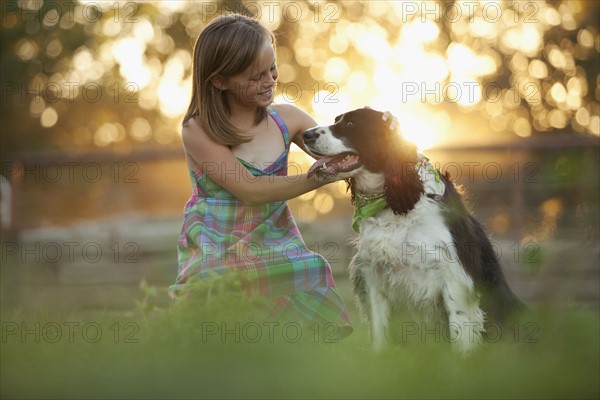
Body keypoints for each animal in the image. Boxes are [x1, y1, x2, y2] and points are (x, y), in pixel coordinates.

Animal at [302, 107, 524, 354]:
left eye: (351, 124)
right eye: (336, 120)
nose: (305, 134)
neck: (390, 205)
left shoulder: (455, 279)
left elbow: (461, 335)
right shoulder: (373, 277)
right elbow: (380, 334)